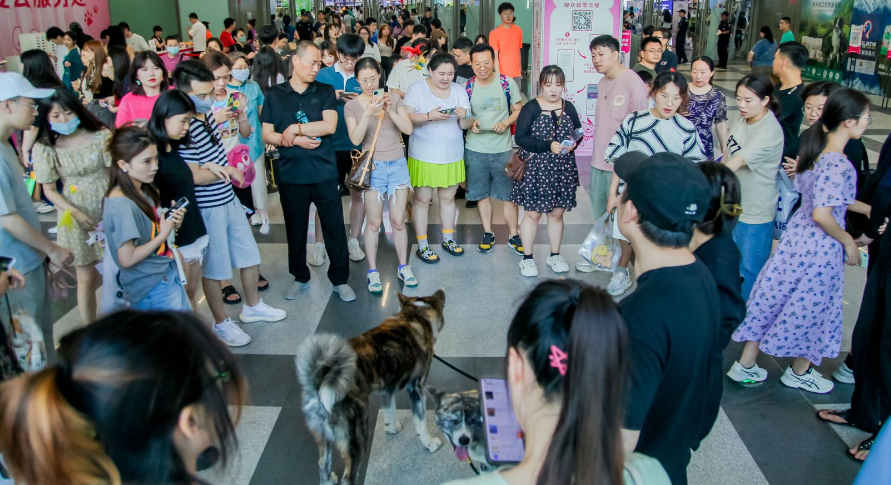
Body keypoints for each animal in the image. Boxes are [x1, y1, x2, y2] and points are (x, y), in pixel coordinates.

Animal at [295, 290, 446, 485]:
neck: (413, 316)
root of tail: (321, 382)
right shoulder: (417, 389)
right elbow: (421, 424)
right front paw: (430, 444)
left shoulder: (387, 390)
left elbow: (390, 411)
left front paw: (391, 428)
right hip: (356, 439)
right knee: (348, 477)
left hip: (323, 436)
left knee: (323, 465)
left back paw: (329, 480)